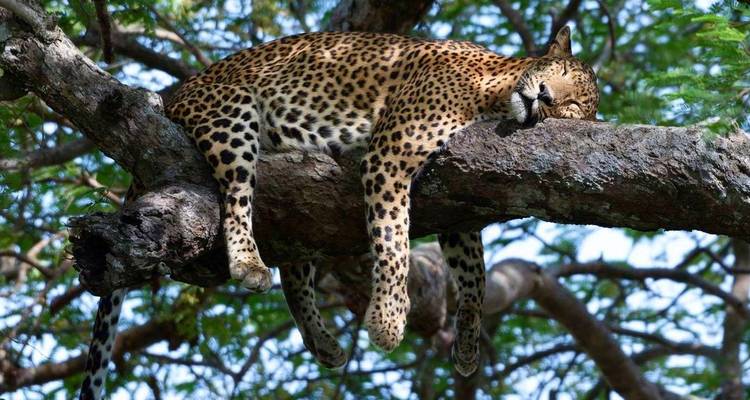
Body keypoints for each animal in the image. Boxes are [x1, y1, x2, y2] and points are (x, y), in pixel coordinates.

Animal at [80, 26, 598, 399]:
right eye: (559, 69)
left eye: (574, 107)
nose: (545, 96)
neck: (495, 88)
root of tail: (176, 94)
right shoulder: (392, 151)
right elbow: (392, 240)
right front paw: (387, 319)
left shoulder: (459, 201)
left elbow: (474, 275)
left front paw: (468, 342)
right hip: (232, 113)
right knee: (236, 195)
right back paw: (247, 261)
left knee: (294, 265)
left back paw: (321, 340)